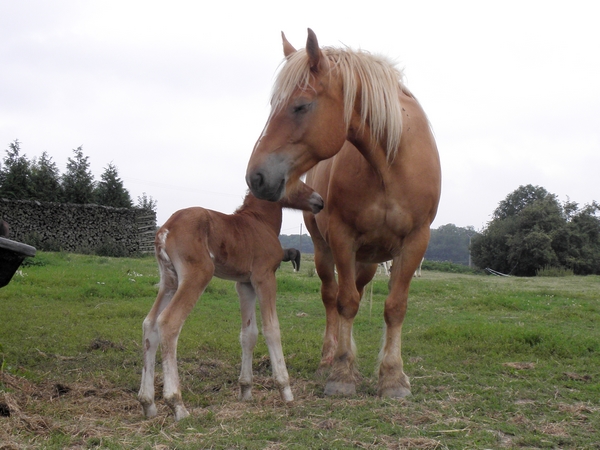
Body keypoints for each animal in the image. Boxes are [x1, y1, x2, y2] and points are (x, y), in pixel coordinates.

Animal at [138, 184, 324, 422]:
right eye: (296, 180)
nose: (319, 201)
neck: (260, 221)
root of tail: (165, 229)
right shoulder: (264, 277)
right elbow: (271, 328)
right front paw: (286, 391)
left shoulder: (244, 284)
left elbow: (248, 334)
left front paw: (245, 390)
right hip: (197, 275)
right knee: (168, 322)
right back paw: (177, 405)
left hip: (170, 282)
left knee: (149, 324)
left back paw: (148, 403)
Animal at [245, 29, 440, 400]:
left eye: (301, 105)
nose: (256, 177)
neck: (389, 165)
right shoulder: (341, 237)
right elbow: (345, 302)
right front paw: (342, 374)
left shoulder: (416, 241)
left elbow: (395, 307)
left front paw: (393, 377)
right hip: (325, 251)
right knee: (331, 297)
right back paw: (329, 358)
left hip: (369, 261)